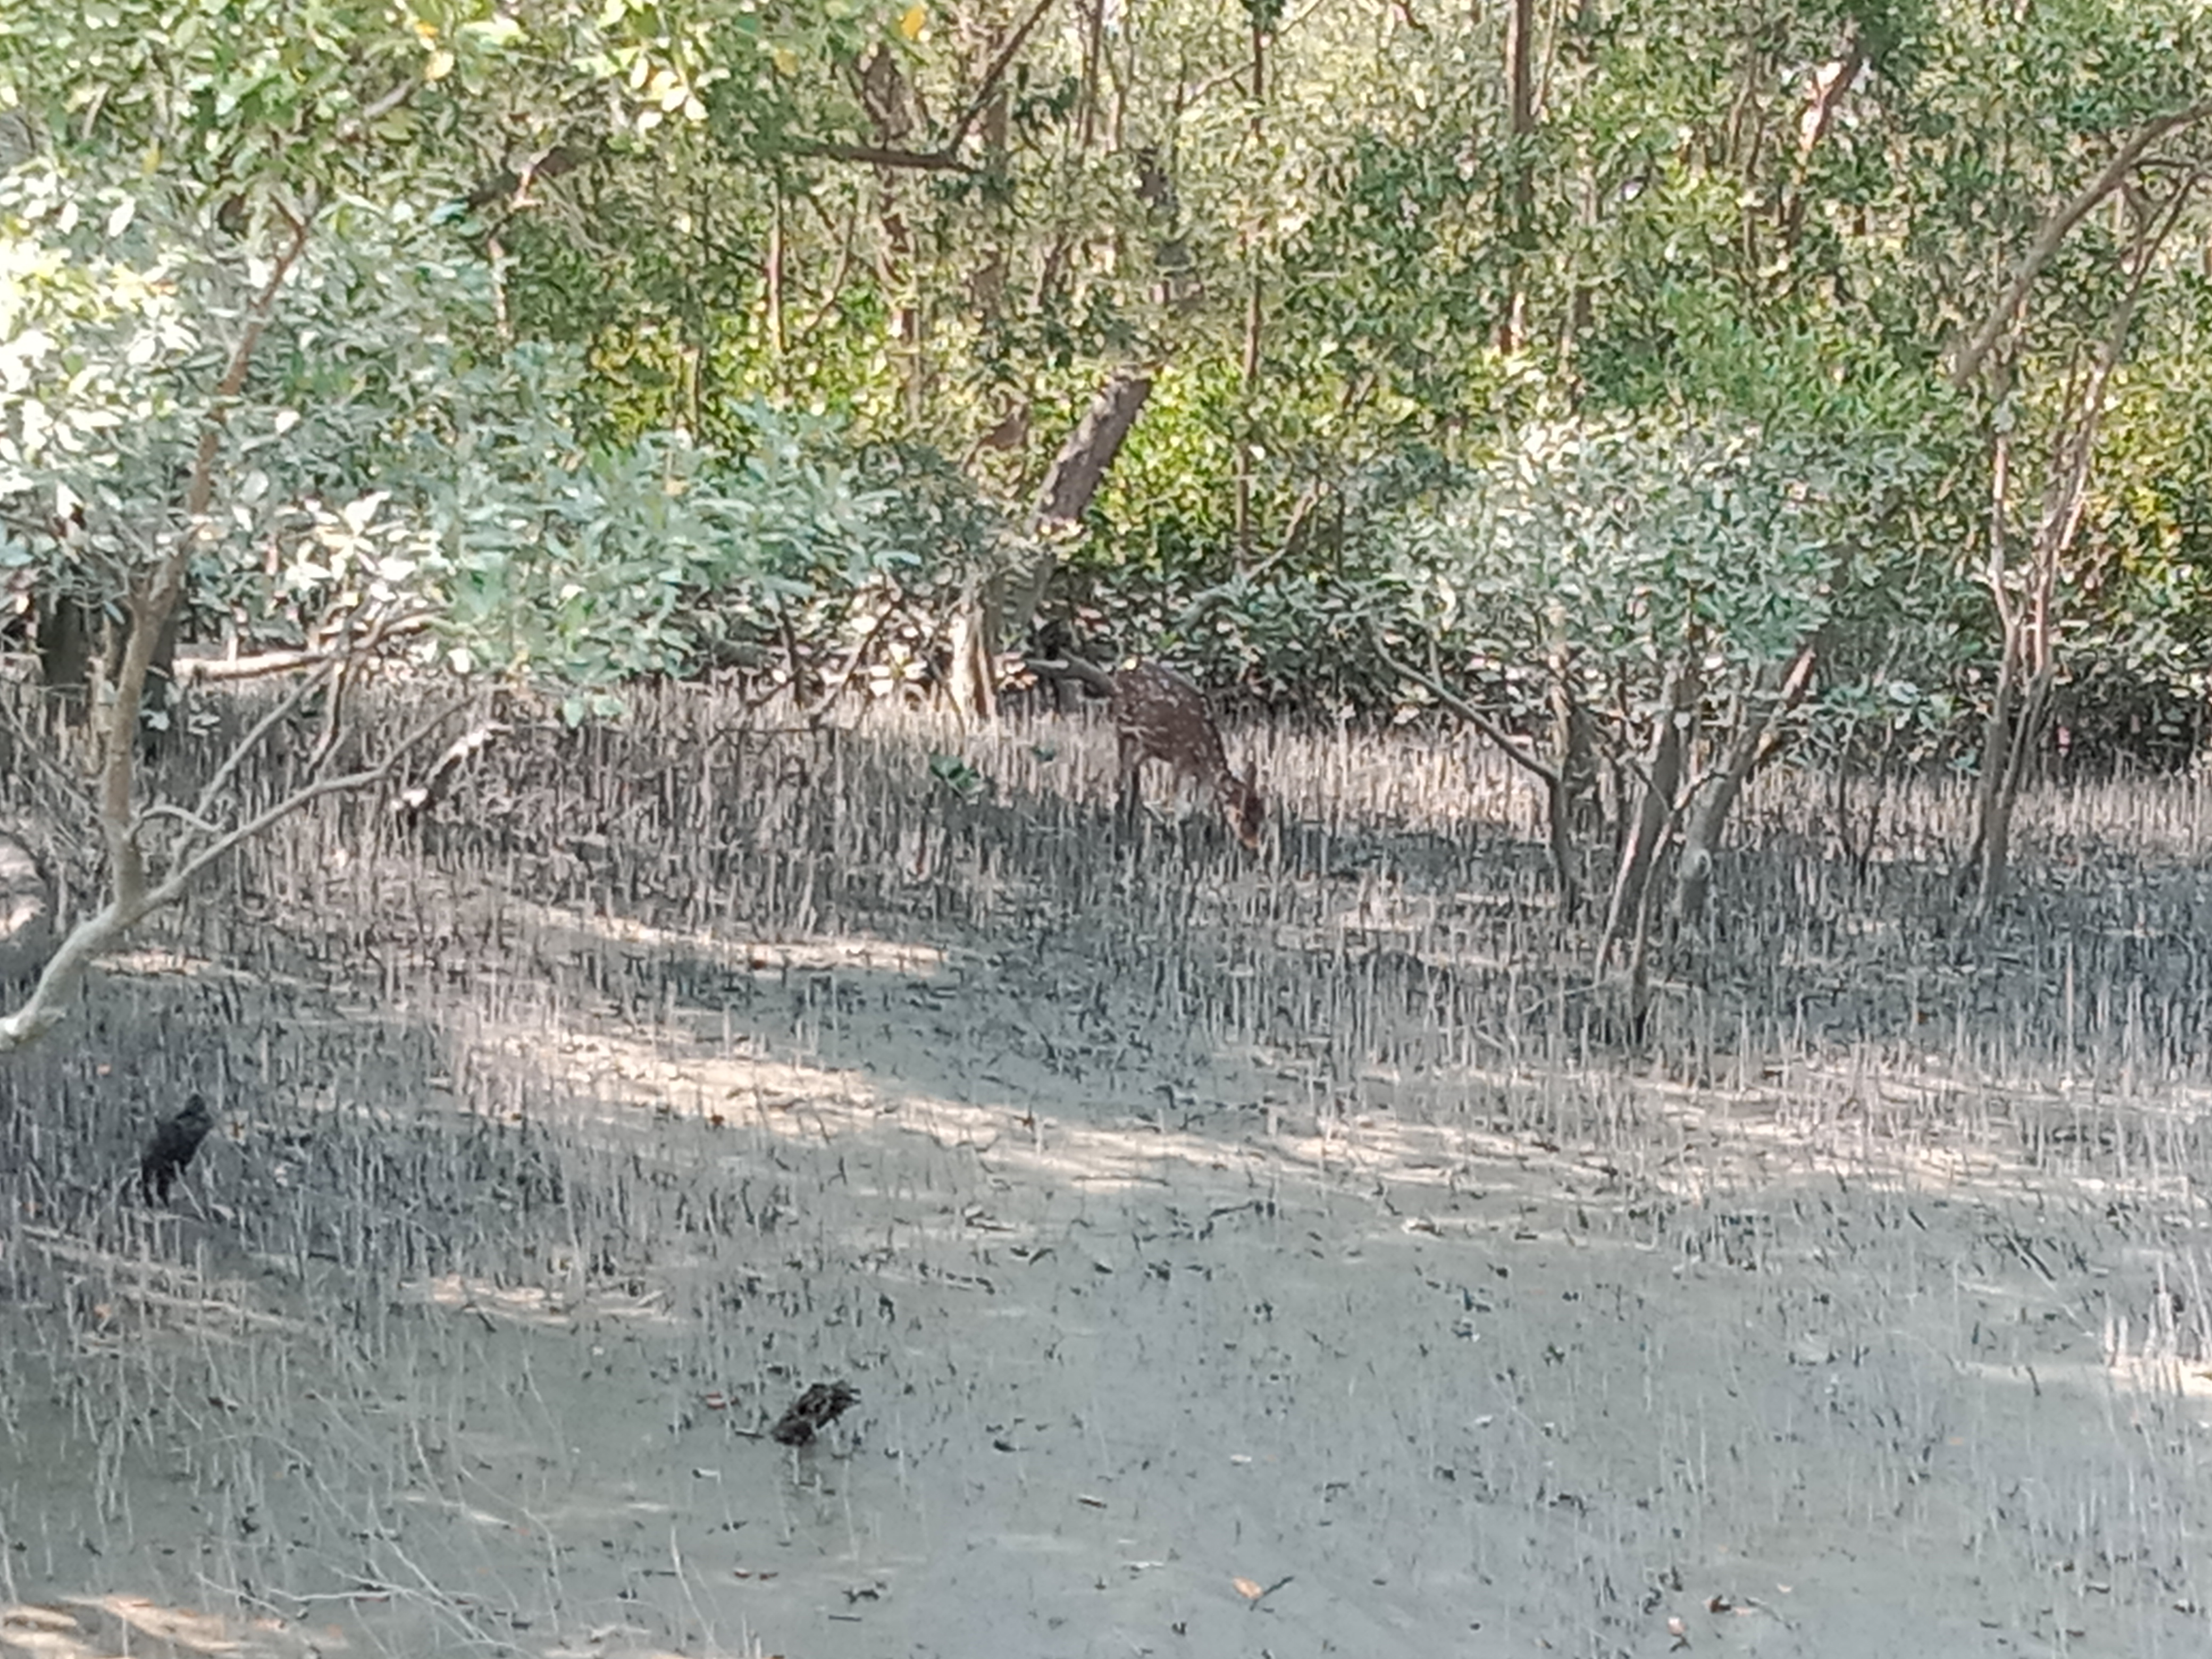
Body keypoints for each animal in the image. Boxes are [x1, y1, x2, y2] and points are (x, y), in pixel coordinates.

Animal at [1035, 655, 1265, 849]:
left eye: (1260, 814)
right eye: (1241, 814)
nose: (1253, 845)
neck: (1203, 749)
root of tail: (1120, 673)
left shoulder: (1202, 773)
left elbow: (1198, 809)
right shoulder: (1181, 757)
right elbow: (1181, 809)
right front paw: (1176, 844)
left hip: (1143, 747)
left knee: (1132, 784)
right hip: (1125, 731)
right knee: (1122, 784)